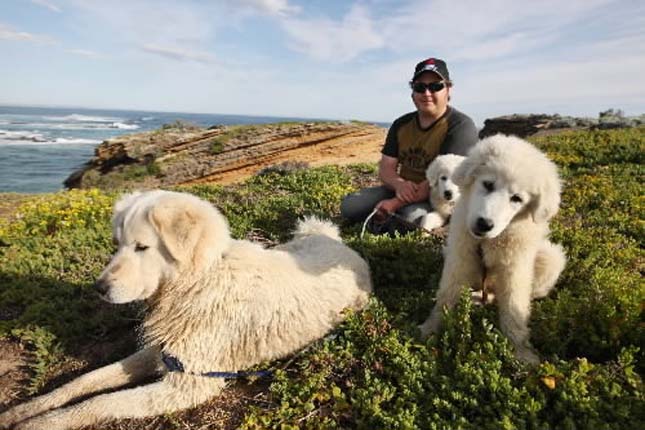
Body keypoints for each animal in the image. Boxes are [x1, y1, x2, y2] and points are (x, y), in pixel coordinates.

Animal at [1, 191, 372, 430]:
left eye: (141, 247)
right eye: (117, 245)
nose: (100, 288)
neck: (198, 280)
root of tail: (340, 244)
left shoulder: (189, 383)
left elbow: (99, 403)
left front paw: (43, 423)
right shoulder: (158, 353)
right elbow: (82, 382)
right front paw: (25, 411)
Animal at [418, 134, 564, 362]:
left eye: (517, 198)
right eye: (488, 184)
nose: (484, 224)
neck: (488, 242)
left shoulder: (515, 267)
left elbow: (514, 306)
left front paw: (522, 352)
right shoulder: (460, 254)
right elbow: (447, 294)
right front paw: (431, 329)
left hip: (550, 258)